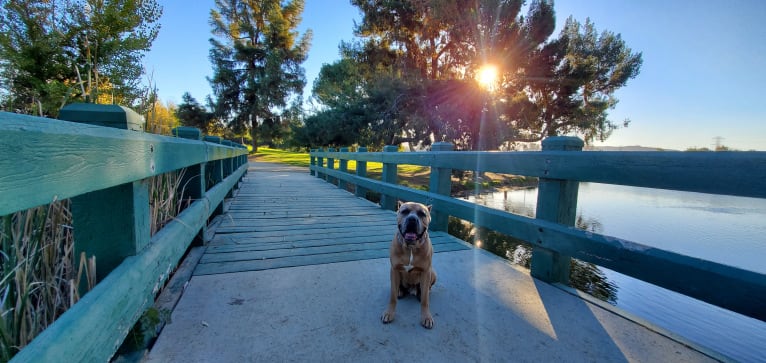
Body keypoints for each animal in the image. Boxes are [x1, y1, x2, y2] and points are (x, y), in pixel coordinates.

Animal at [382, 202, 438, 330]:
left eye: (422, 214)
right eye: (405, 211)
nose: (412, 219)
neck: (411, 247)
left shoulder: (426, 271)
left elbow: (425, 301)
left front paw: (426, 317)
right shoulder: (394, 269)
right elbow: (392, 297)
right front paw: (389, 313)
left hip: (432, 273)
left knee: (425, 289)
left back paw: (421, 292)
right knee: (399, 288)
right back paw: (400, 291)